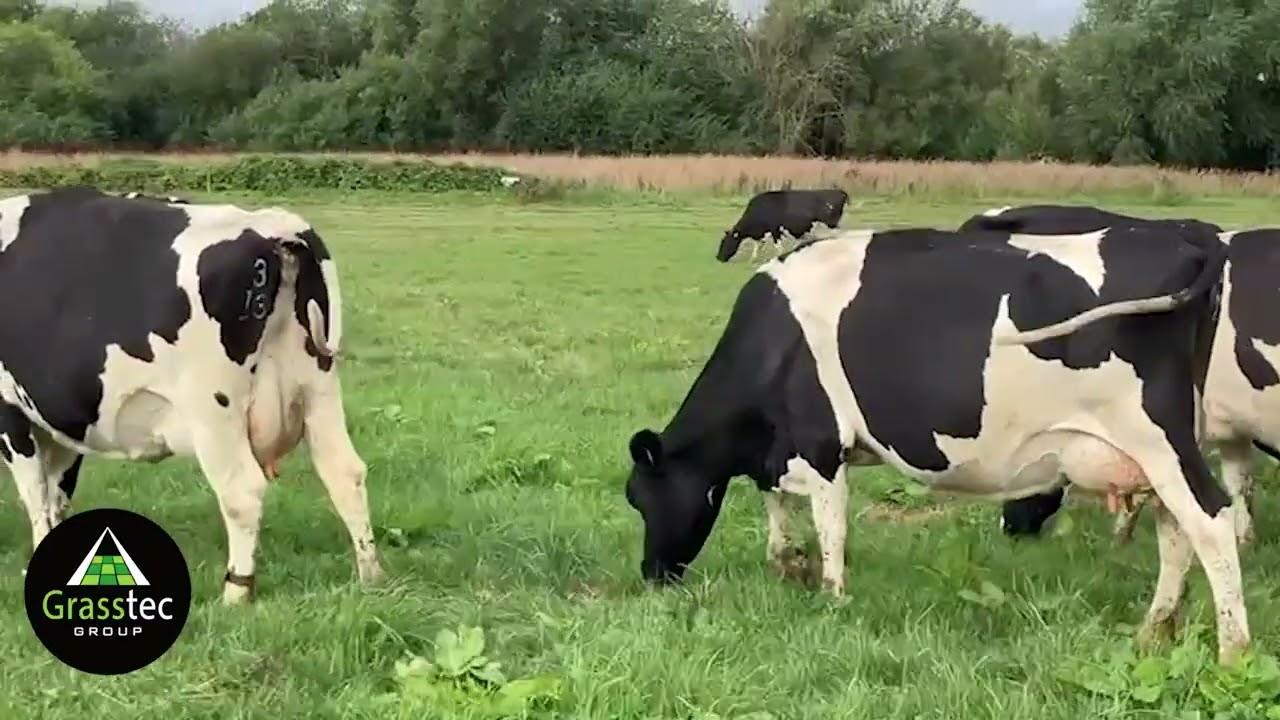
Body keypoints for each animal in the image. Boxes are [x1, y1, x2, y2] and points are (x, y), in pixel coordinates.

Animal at [0, 186, 383, 603]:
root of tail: (275, 228)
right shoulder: (61, 423)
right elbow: (56, 494)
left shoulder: (10, 412)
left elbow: (36, 494)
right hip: (318, 389)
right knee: (345, 473)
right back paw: (371, 576)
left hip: (213, 410)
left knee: (242, 491)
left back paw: (235, 593)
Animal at [622, 224, 1253, 665]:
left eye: (644, 499)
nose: (652, 574)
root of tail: (1184, 239)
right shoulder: (780, 453)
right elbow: (776, 507)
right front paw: (784, 567)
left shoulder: (820, 442)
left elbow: (831, 526)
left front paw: (832, 595)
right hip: (1166, 447)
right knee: (1177, 533)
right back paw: (1153, 630)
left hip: (1158, 437)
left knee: (1211, 522)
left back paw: (1234, 650)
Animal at [716, 189, 848, 263]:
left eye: (725, 242)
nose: (718, 257)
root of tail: (840, 192)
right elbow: (758, 245)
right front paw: (752, 259)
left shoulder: (775, 230)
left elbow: (778, 247)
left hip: (831, 225)